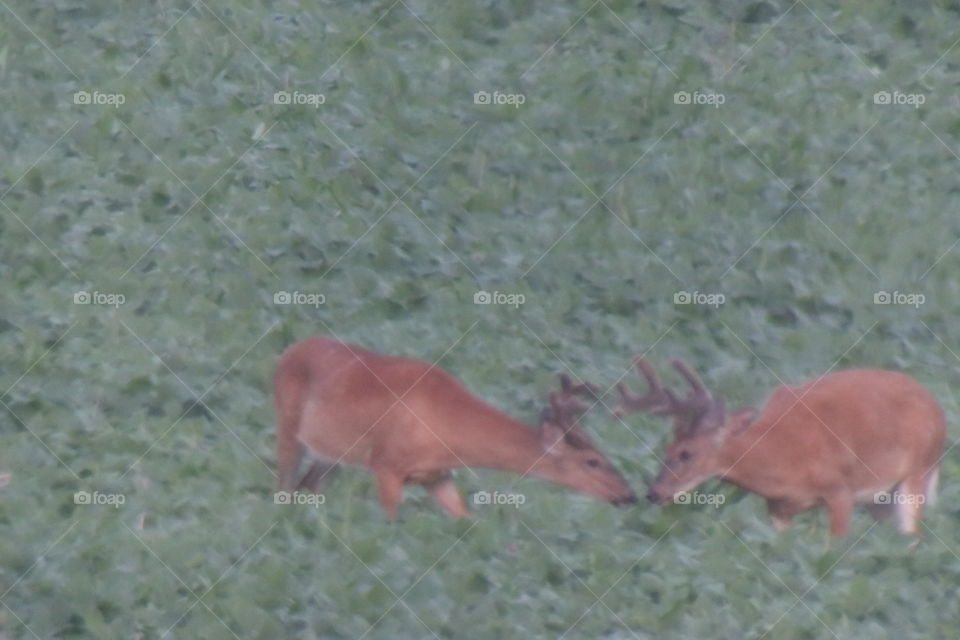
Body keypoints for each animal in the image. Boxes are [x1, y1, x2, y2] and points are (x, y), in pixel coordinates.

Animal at [274, 336, 637, 517]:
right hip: (287, 426)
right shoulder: (386, 465)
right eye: (593, 461)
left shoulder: (438, 476)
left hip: (330, 454)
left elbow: (465, 520)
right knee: (284, 486)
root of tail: (288, 350)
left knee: (306, 487)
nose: (629, 494)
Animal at [615, 356, 945, 538]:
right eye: (665, 450)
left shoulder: (840, 490)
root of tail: (936, 406)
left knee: (914, 537)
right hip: (880, 499)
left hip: (919, 470)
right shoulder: (777, 508)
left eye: (687, 453)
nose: (653, 493)